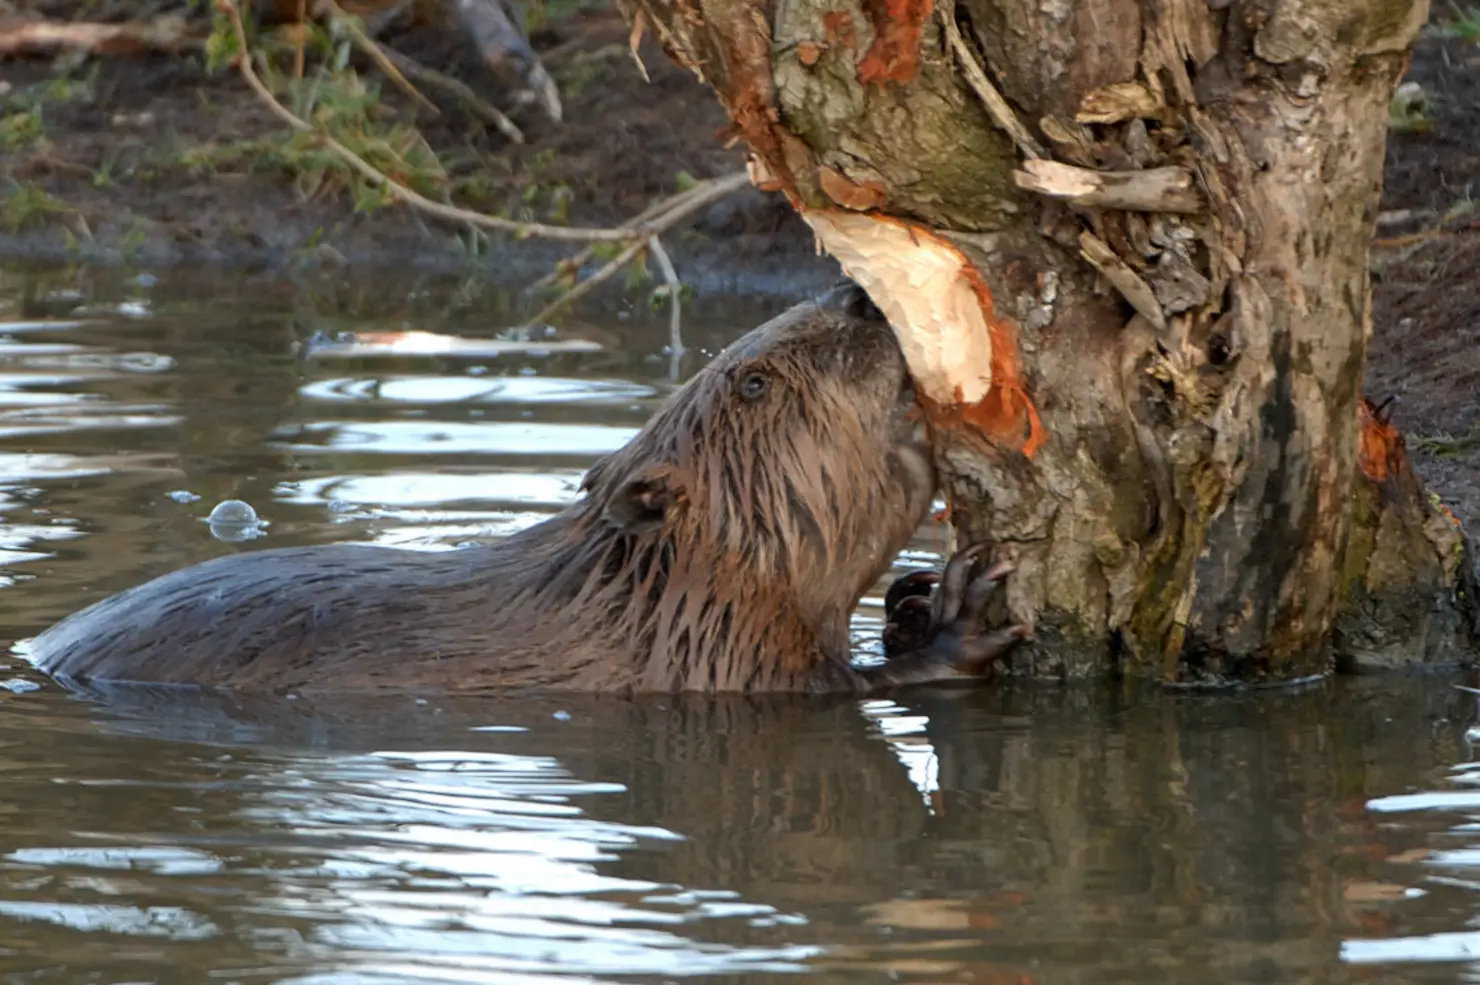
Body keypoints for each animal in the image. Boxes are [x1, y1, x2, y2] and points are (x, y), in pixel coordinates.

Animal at [31, 279, 1030, 695]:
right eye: (751, 382)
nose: (860, 297)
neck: (655, 591)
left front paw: (908, 598)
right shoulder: (707, 659)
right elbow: (834, 688)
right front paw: (956, 616)